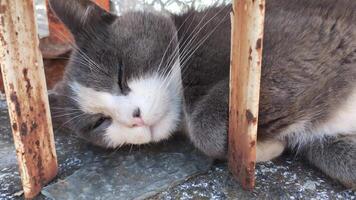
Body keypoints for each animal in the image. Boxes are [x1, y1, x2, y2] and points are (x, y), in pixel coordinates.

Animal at [48, 0, 356, 188]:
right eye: (99, 122)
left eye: (120, 74)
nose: (135, 118)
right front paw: (266, 146)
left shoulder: (310, 42)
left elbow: (206, 124)